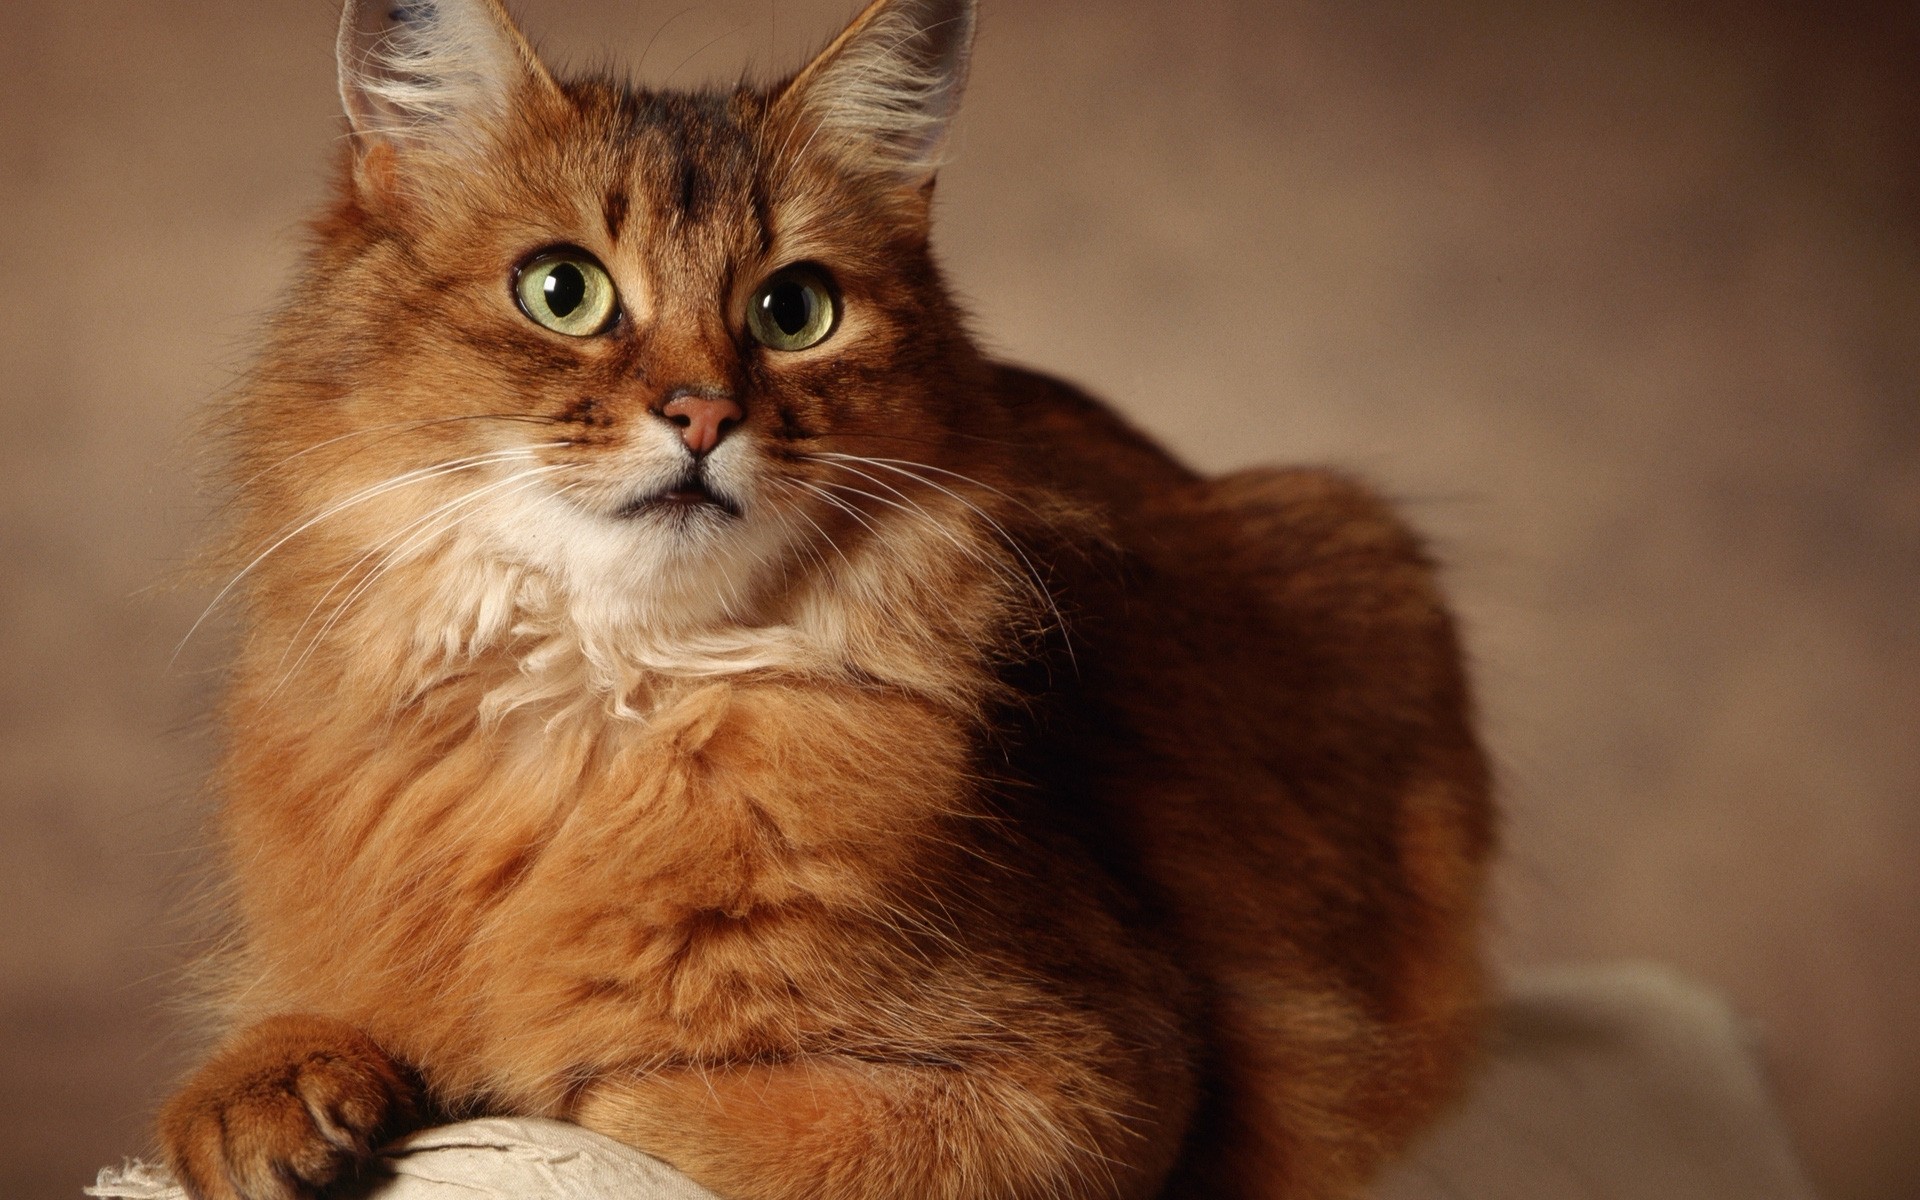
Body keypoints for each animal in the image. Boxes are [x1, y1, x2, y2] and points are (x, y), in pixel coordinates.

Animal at [157, 2, 1489, 1198]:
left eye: (793, 311)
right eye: (561, 291)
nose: (703, 414)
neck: (608, 706)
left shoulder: (1103, 1078)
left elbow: (626, 1095)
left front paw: (482, 1077)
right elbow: (275, 1040)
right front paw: (277, 1092)